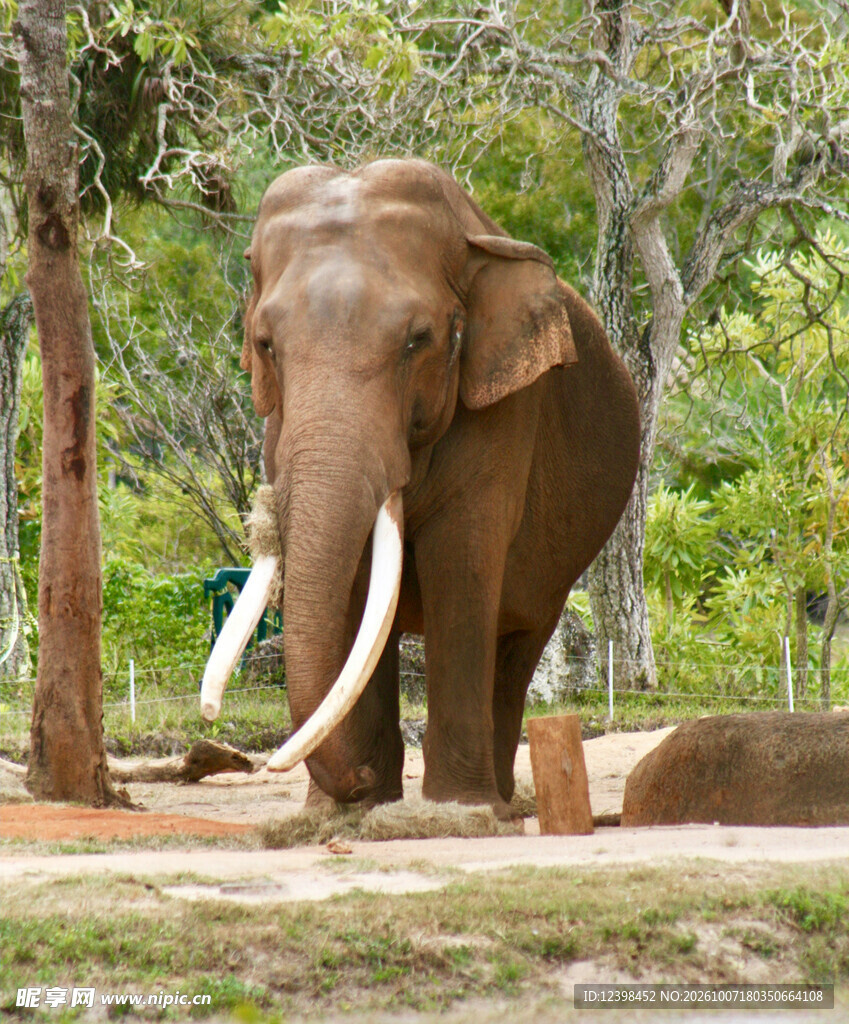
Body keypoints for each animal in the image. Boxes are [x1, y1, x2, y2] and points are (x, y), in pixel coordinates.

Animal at [201, 158, 640, 820]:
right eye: (265, 345)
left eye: (418, 340)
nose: (354, 778)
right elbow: (354, 588)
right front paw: (345, 812)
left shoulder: (505, 412)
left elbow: (460, 565)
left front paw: (460, 813)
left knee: (518, 646)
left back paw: (499, 803)